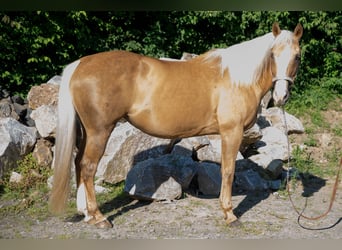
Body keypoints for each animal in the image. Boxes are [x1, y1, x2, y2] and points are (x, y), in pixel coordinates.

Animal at [48, 23, 302, 229]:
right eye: (272, 54)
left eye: (297, 56)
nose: (281, 96)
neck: (237, 78)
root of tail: (80, 64)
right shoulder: (232, 132)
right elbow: (228, 171)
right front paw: (230, 215)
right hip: (99, 131)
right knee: (88, 167)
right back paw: (99, 217)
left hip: (86, 132)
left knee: (78, 164)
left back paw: (86, 214)